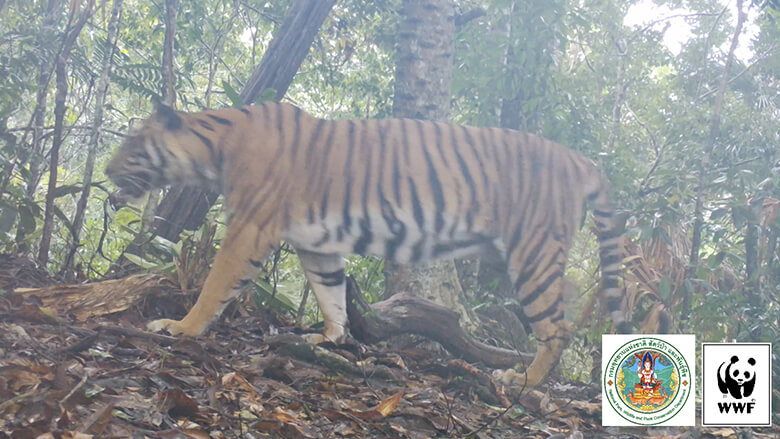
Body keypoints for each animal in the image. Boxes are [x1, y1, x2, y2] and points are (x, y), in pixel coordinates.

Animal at [105, 101, 628, 386]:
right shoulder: (316, 243)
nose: (108, 171)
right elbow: (331, 292)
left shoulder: (248, 228)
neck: (214, 147)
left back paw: (522, 380)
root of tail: (578, 158)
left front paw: (180, 327)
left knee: (558, 327)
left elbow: (215, 284)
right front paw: (330, 338)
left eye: (132, 145)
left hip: (532, 255)